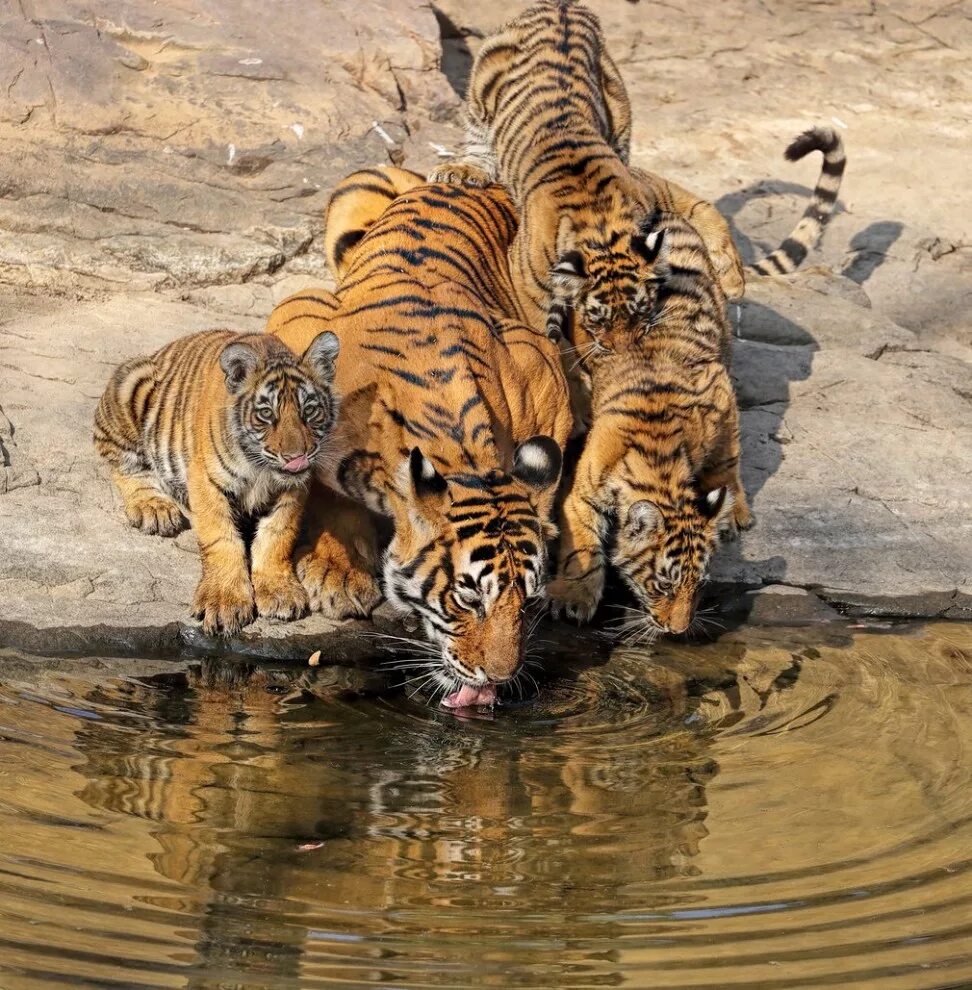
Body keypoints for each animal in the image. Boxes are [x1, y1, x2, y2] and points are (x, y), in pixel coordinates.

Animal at [266, 172, 568, 704]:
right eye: (469, 598)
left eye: (527, 602)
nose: (500, 678)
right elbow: (319, 484)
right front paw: (339, 573)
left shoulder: (542, 370)